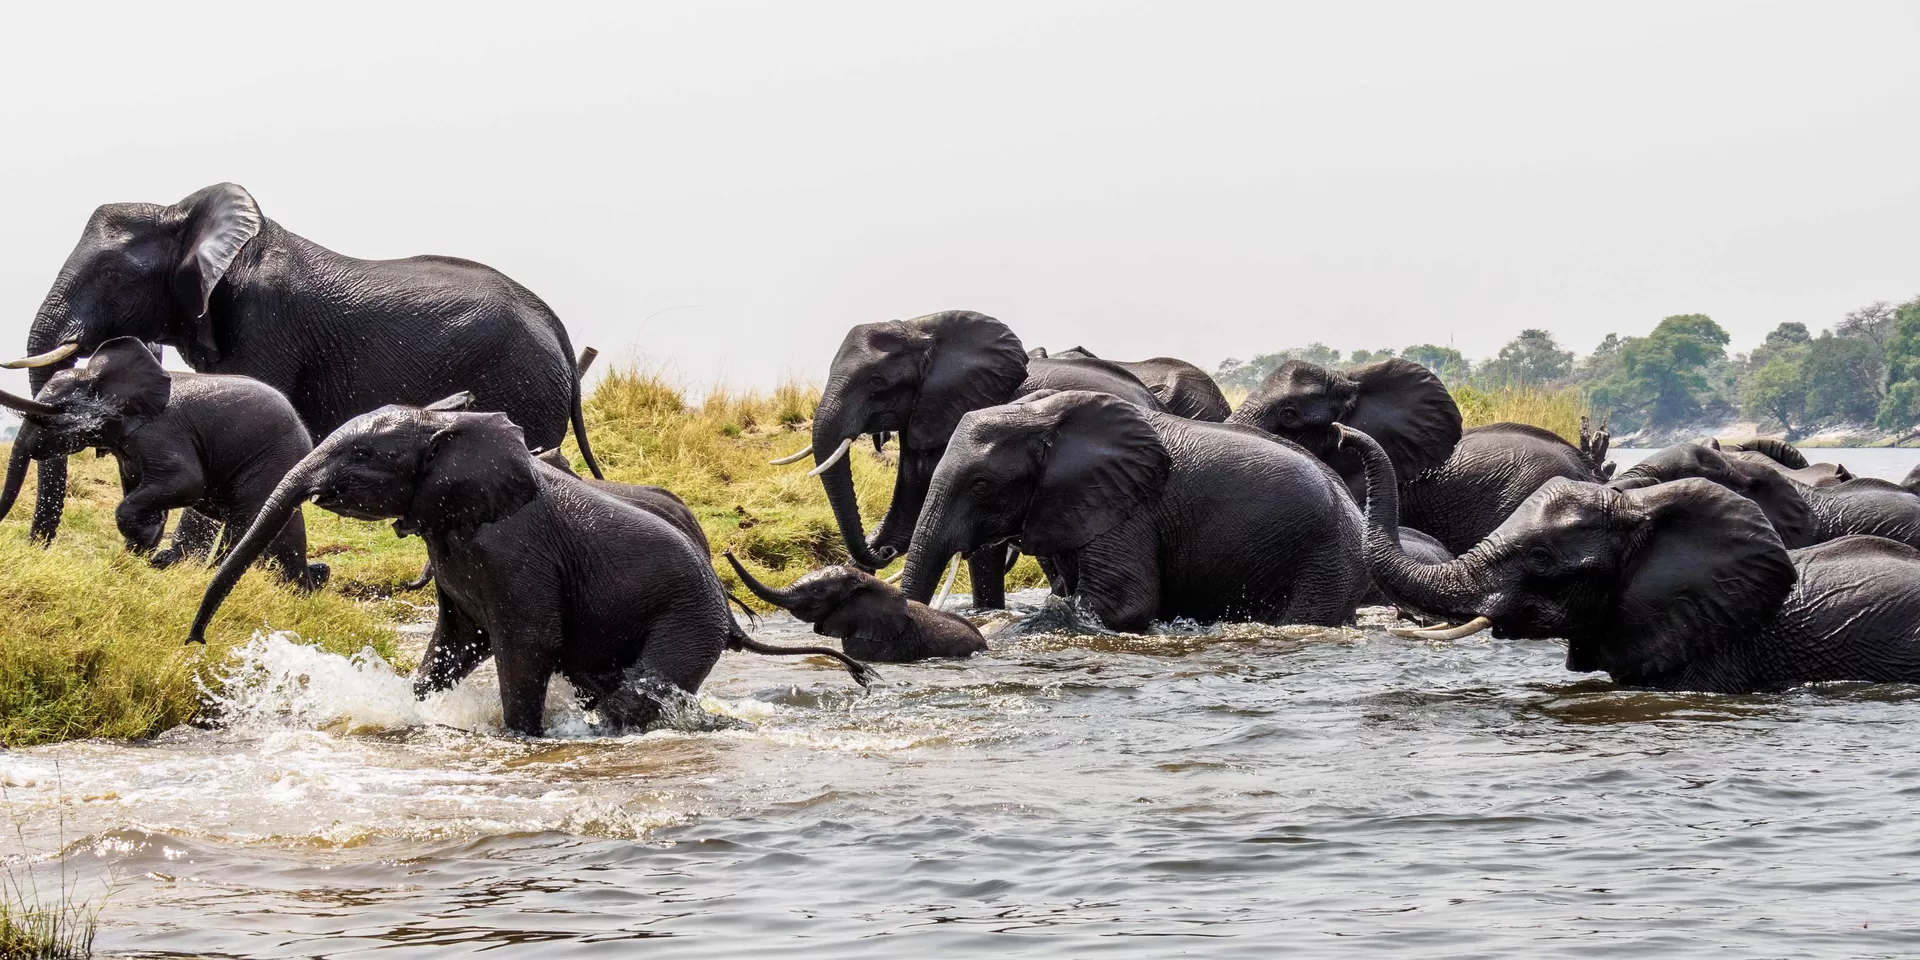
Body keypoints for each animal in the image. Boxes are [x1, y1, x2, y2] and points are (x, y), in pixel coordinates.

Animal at [0, 337, 326, 587]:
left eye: (61, 408)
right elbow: (139, 489)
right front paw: (140, 547)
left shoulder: (161, 433)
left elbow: (187, 482)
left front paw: (147, 538)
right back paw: (301, 588)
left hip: (270, 461)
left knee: (244, 520)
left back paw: (206, 576)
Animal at [9, 182, 603, 550]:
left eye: (113, 276)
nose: (39, 547)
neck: (185, 215)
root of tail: (559, 334)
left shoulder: (266, 323)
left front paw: (169, 564)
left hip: (524, 385)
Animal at [188, 404, 865, 736]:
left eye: (363, 453)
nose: (195, 642)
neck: (448, 428)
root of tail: (728, 611)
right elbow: (456, 643)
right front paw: (418, 711)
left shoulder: (514, 551)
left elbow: (526, 640)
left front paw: (520, 742)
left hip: (686, 616)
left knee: (639, 692)